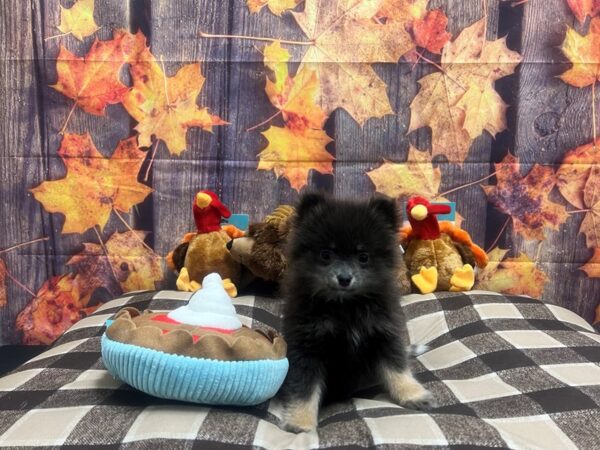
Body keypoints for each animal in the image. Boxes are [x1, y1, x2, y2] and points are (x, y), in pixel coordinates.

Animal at [278, 192, 434, 432]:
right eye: (326, 255)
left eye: (363, 257)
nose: (344, 278)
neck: (346, 306)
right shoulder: (306, 346)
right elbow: (304, 387)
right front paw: (300, 422)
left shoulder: (384, 334)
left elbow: (397, 368)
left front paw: (412, 394)